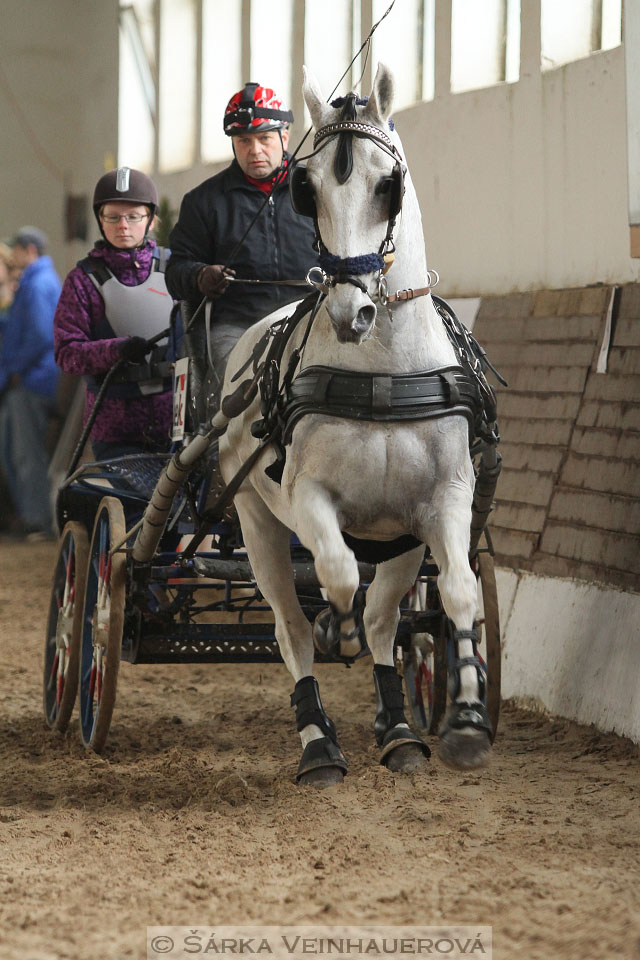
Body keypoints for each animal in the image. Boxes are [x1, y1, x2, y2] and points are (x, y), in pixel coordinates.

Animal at [218, 63, 492, 784]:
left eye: (386, 183)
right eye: (306, 187)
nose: (351, 310)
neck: (384, 373)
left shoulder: (444, 501)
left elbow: (460, 594)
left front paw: (466, 721)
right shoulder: (306, 497)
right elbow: (335, 575)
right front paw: (331, 634)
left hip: (399, 544)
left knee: (382, 620)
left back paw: (398, 731)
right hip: (256, 520)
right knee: (292, 625)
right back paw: (319, 740)